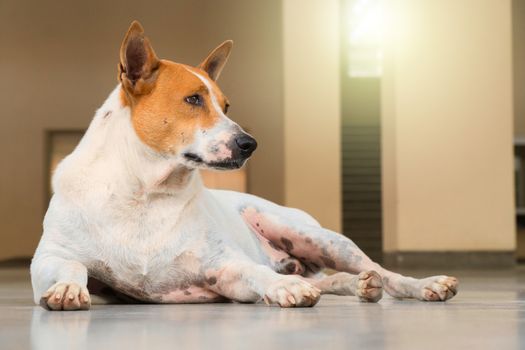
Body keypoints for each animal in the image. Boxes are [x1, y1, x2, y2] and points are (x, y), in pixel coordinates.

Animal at [31, 20, 458, 310]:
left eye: (226, 104)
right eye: (193, 99)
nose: (250, 144)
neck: (146, 192)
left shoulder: (226, 268)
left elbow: (255, 272)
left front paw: (284, 288)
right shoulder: (51, 258)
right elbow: (71, 268)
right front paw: (68, 289)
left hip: (317, 237)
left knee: (381, 271)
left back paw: (423, 284)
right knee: (336, 279)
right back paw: (357, 286)